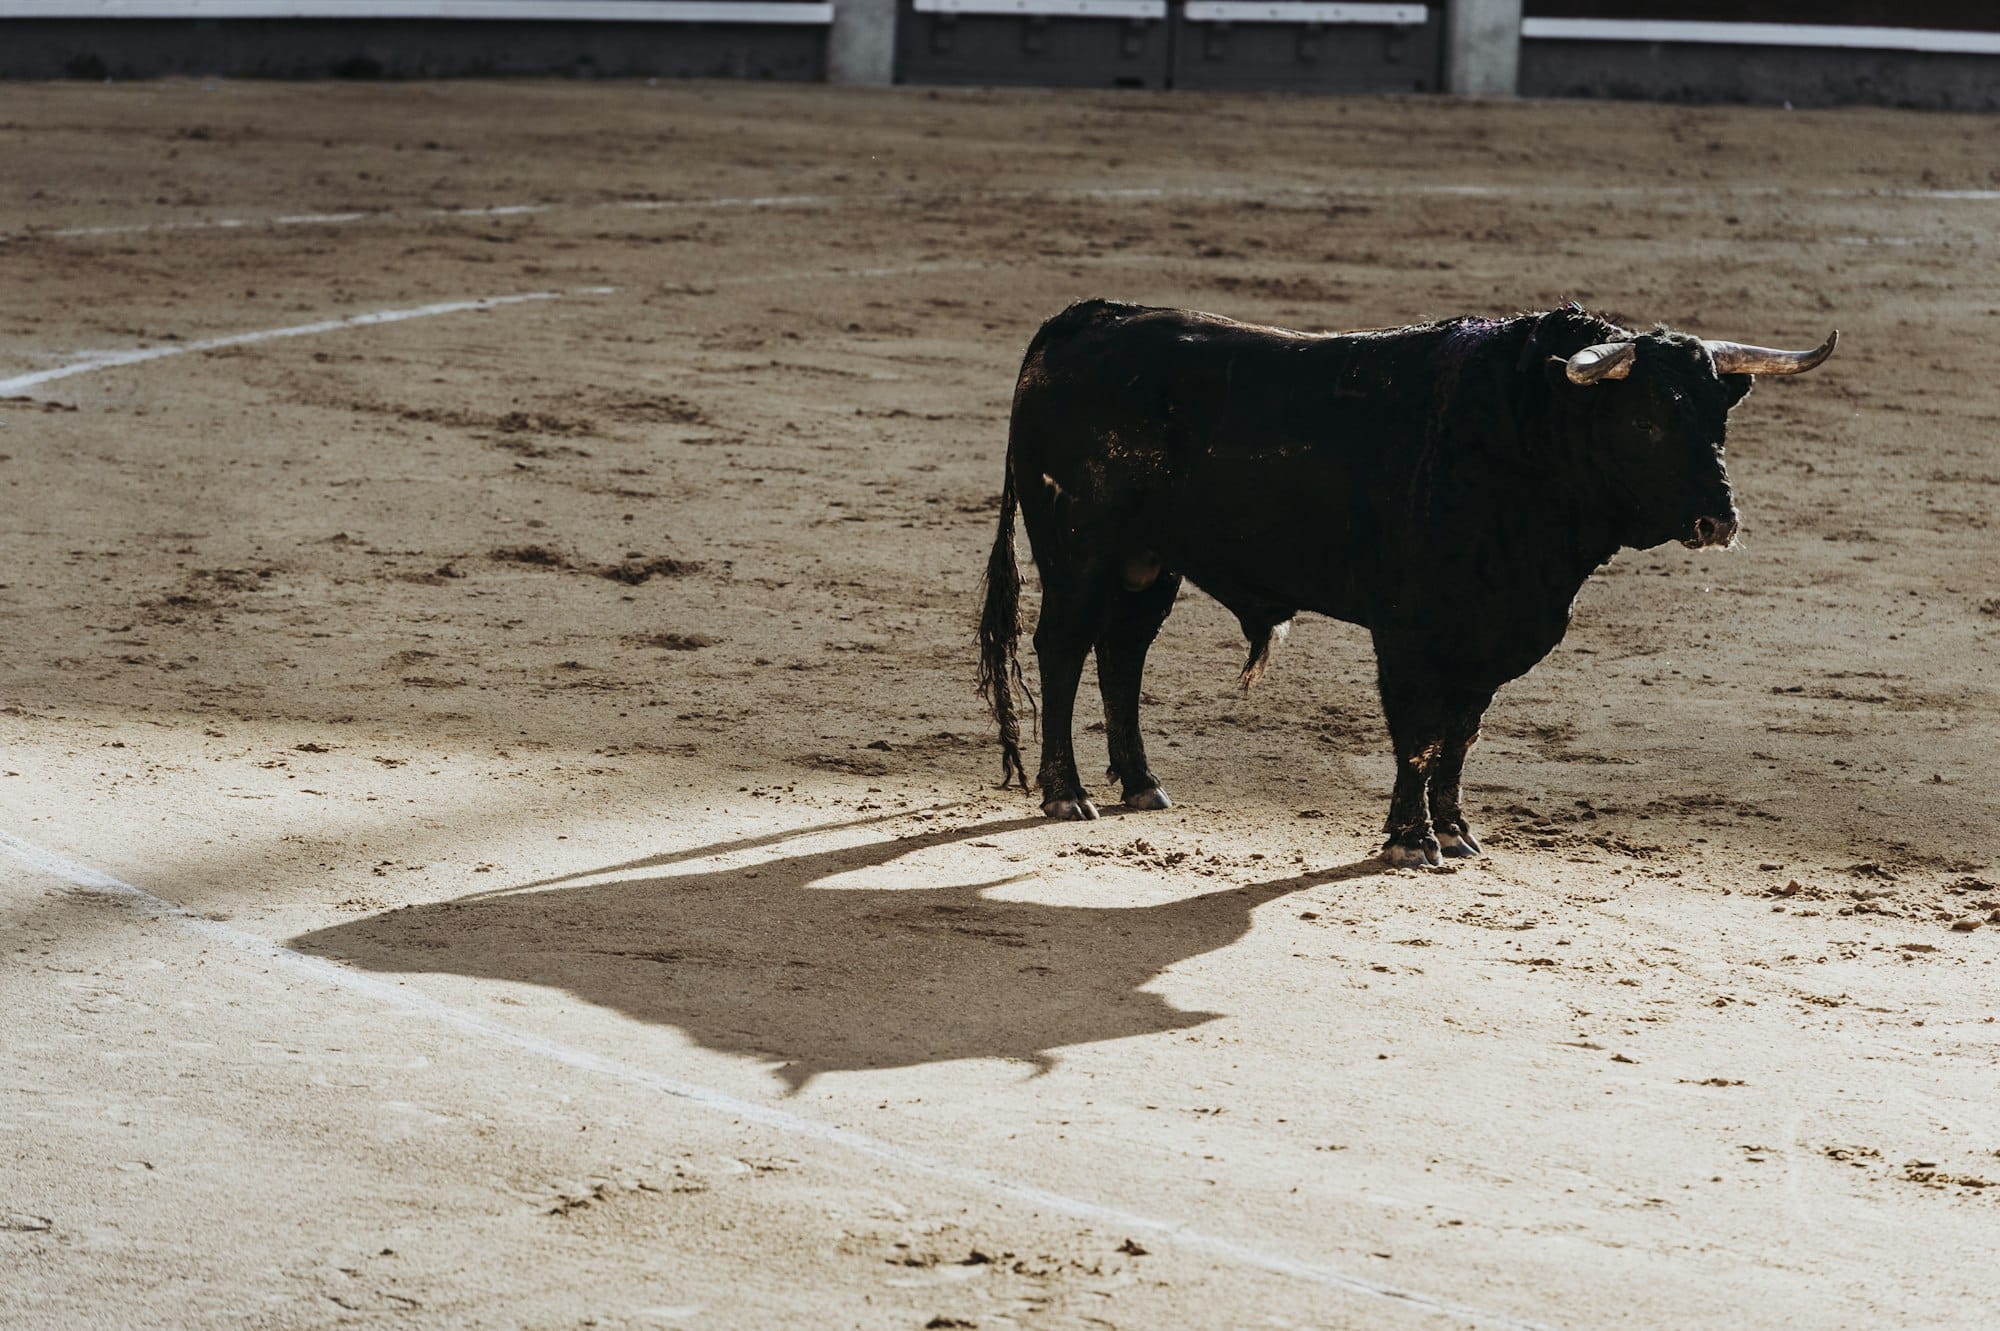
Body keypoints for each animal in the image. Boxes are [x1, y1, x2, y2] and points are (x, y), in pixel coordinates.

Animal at [976, 297, 1832, 859]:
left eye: (1719, 417)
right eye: (1649, 419)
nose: (1719, 520)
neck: (1517, 435)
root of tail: (1086, 319)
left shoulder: (1495, 636)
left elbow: (1460, 735)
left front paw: (1456, 831)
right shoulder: (1412, 632)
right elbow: (1417, 735)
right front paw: (1412, 840)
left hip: (1149, 565)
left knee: (1122, 656)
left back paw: (1142, 783)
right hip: (1080, 555)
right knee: (1062, 650)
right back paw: (1067, 791)